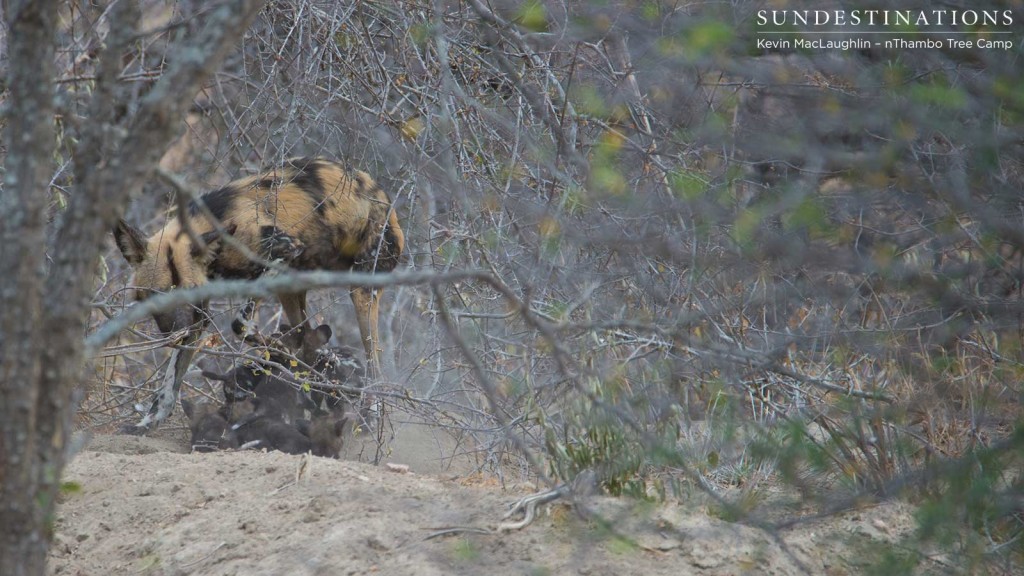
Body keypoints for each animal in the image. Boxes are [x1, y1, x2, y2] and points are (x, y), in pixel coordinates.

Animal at [115, 154, 403, 432]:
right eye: (157, 294)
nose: (178, 331)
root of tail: (382, 195)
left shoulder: (282, 254)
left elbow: (240, 324)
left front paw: (276, 349)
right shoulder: (199, 314)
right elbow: (170, 381)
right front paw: (148, 423)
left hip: (360, 292)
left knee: (374, 363)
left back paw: (369, 415)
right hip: (291, 290)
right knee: (308, 334)